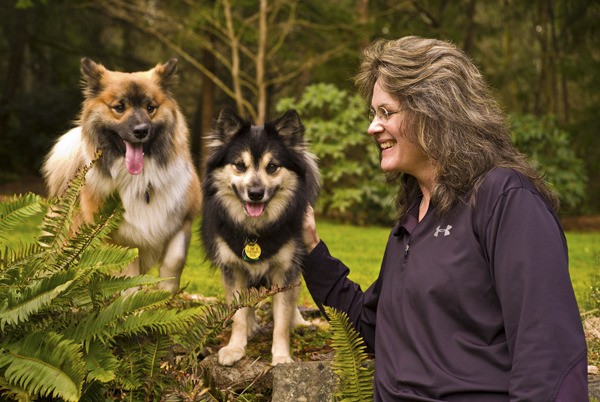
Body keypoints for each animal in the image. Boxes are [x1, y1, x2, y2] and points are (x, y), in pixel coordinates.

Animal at [43, 58, 202, 294]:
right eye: (119, 107)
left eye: (150, 108)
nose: (141, 131)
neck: (141, 181)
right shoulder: (118, 240)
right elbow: (129, 283)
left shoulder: (182, 222)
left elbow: (174, 262)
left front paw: (165, 295)